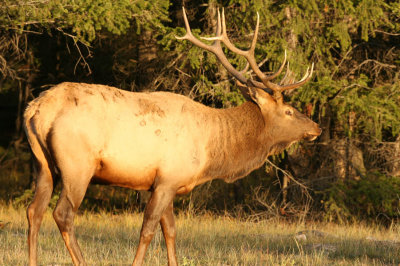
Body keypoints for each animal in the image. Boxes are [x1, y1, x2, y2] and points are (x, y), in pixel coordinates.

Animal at [24, 7, 318, 266]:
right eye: (289, 111)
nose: (316, 127)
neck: (211, 153)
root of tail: (37, 109)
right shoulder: (167, 179)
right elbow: (148, 230)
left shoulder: (165, 182)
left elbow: (171, 230)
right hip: (77, 165)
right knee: (63, 214)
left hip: (43, 164)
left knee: (33, 211)